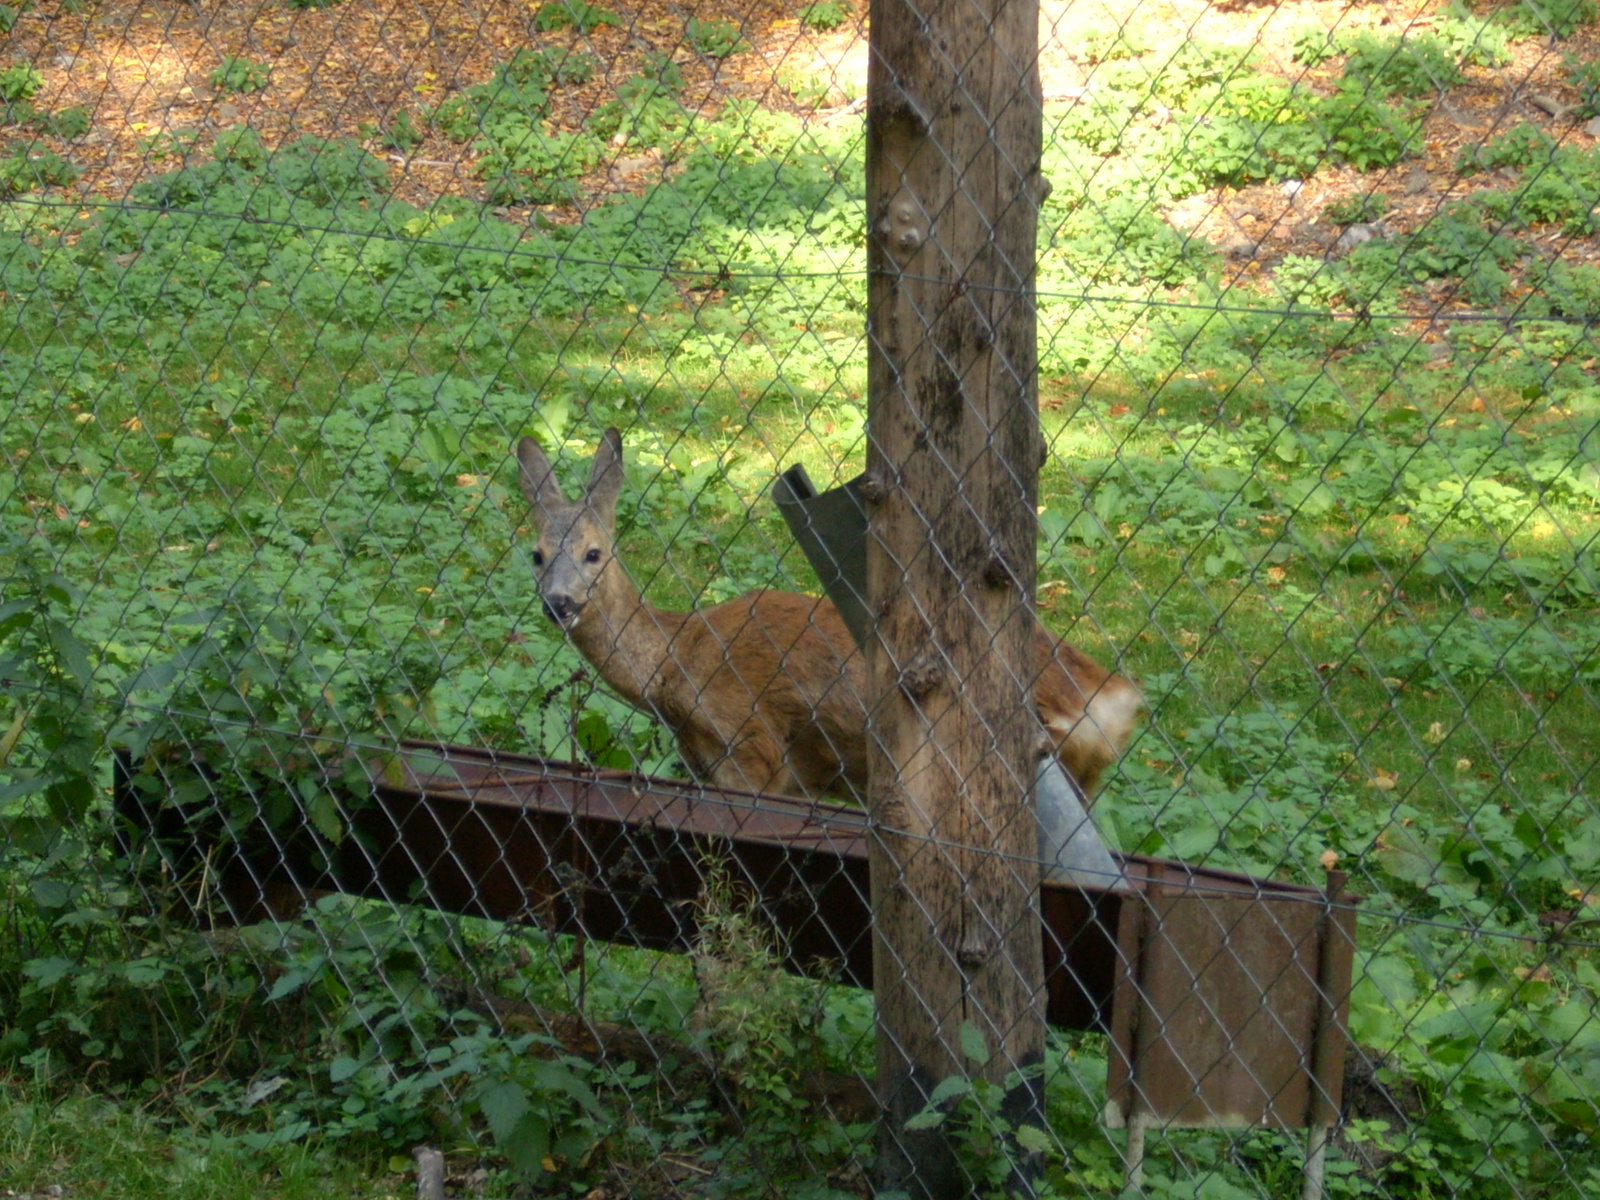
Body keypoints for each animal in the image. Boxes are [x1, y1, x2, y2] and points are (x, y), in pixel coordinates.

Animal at [512, 428, 1139, 803]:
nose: (558, 603)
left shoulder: (752, 750)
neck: (678, 662)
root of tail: (1114, 698)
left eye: (594, 552)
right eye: (536, 554)